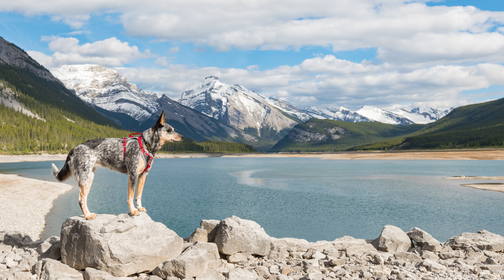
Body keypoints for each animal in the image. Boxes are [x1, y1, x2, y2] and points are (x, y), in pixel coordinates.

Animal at [51, 110, 184, 220]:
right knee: (80, 200)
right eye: (169, 130)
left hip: (89, 178)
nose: (183, 136)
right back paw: (88, 216)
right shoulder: (133, 175)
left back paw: (88, 213)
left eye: (173, 129)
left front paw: (140, 208)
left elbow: (138, 195)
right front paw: (133, 211)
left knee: (84, 199)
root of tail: (74, 148)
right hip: (84, 178)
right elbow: (131, 196)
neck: (146, 145)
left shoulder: (143, 176)